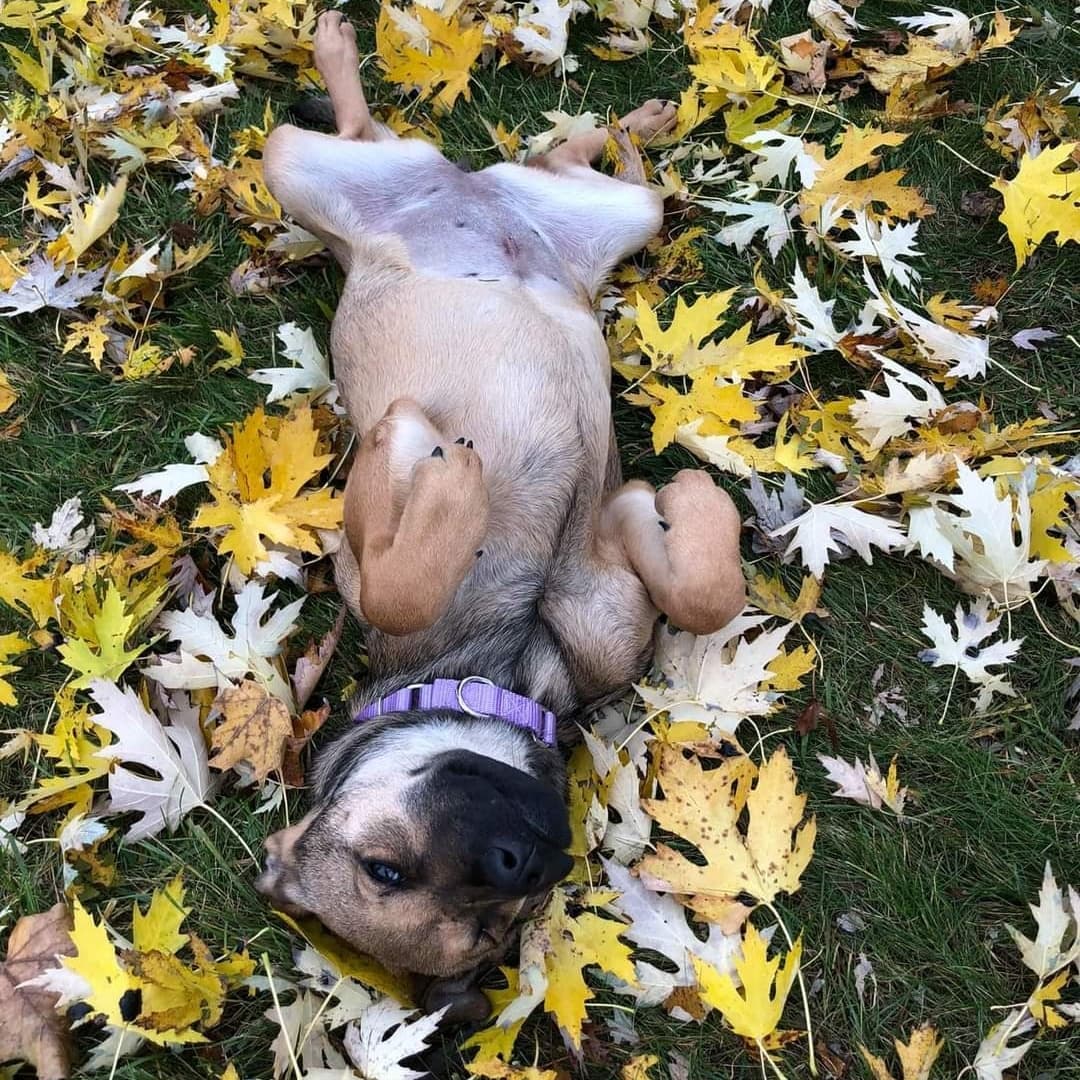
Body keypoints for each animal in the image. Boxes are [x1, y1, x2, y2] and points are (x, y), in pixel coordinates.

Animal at [253, 10, 747, 1010]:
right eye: (389, 876)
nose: (522, 859)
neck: (507, 667)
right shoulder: (574, 540)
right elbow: (397, 579)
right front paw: (433, 467)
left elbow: (704, 593)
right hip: (302, 165)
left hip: (568, 208)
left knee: (535, 158)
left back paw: (629, 119)